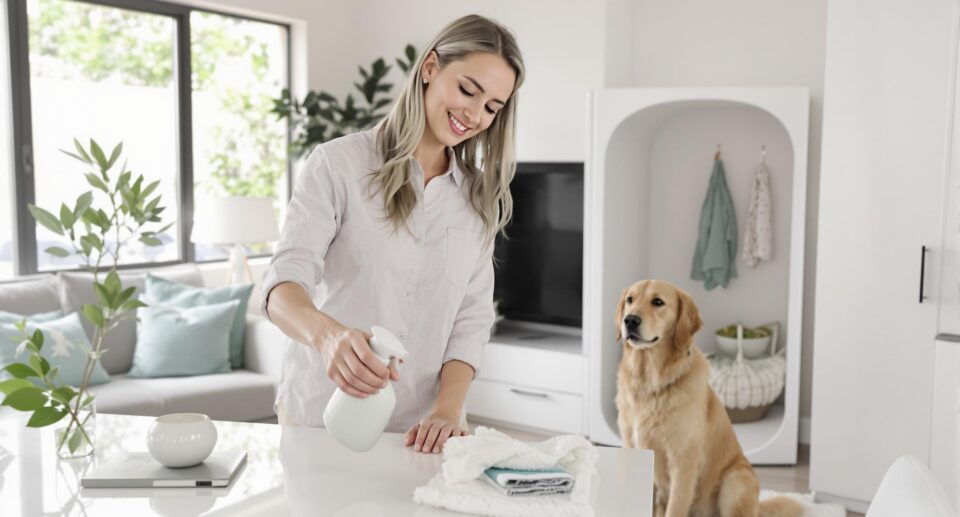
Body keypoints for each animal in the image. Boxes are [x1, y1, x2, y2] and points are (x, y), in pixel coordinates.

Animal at [616, 280, 804, 516]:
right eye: (630, 300)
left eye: (657, 302)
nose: (630, 320)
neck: (651, 383)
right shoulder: (633, 451)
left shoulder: (683, 463)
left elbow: (675, 508)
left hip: (736, 480)